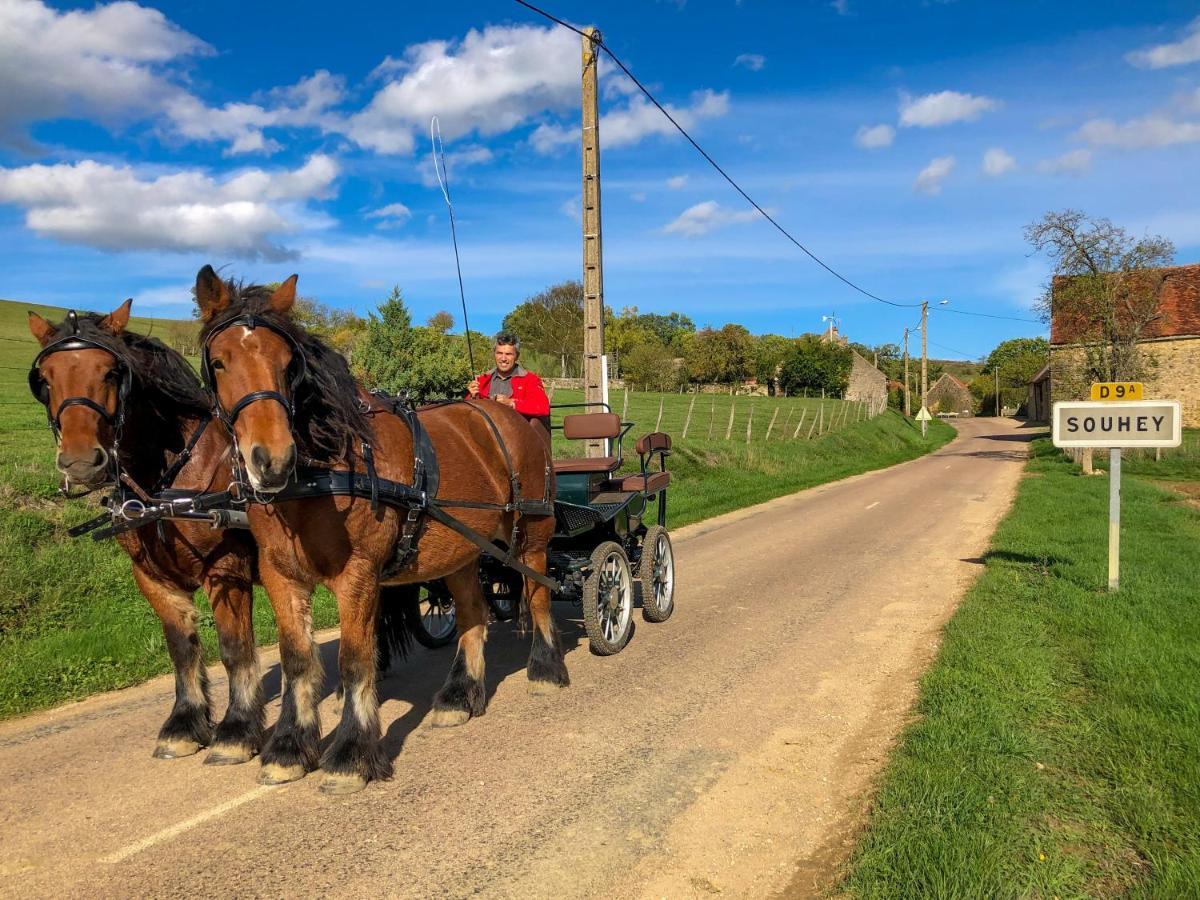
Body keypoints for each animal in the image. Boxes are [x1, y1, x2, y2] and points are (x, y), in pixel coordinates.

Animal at [26, 307, 265, 763]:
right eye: (44, 378)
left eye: (110, 372)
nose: (80, 461)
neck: (165, 485)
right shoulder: (151, 576)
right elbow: (181, 648)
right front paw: (184, 724)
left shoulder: (227, 568)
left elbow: (233, 647)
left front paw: (237, 730)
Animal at [194, 267, 568, 796]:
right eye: (219, 362)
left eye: (289, 364)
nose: (272, 460)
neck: (324, 471)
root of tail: (508, 416)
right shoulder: (281, 576)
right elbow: (296, 661)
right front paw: (288, 748)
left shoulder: (358, 575)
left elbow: (355, 661)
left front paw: (351, 753)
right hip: (459, 551)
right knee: (472, 612)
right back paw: (460, 695)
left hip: (531, 535)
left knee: (537, 595)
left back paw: (546, 669)